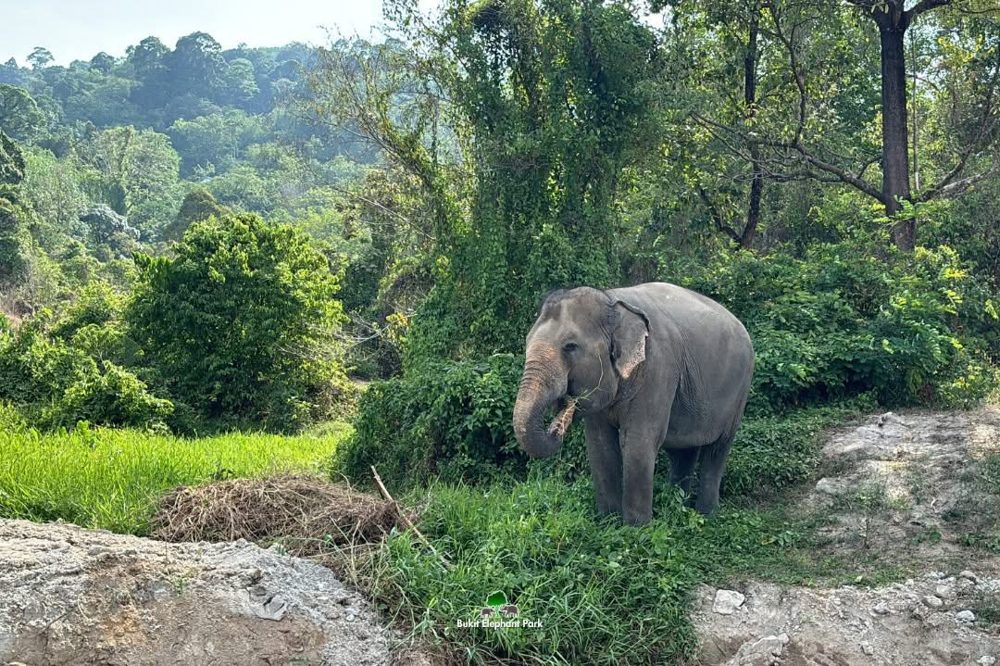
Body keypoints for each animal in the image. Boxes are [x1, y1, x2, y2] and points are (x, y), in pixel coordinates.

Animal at [512, 282, 754, 525]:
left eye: (570, 346)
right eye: (527, 342)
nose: (557, 425)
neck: (612, 300)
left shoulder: (657, 367)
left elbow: (638, 442)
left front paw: (636, 528)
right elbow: (600, 444)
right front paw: (608, 521)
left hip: (740, 391)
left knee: (717, 450)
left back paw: (706, 515)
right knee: (683, 451)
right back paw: (678, 509)